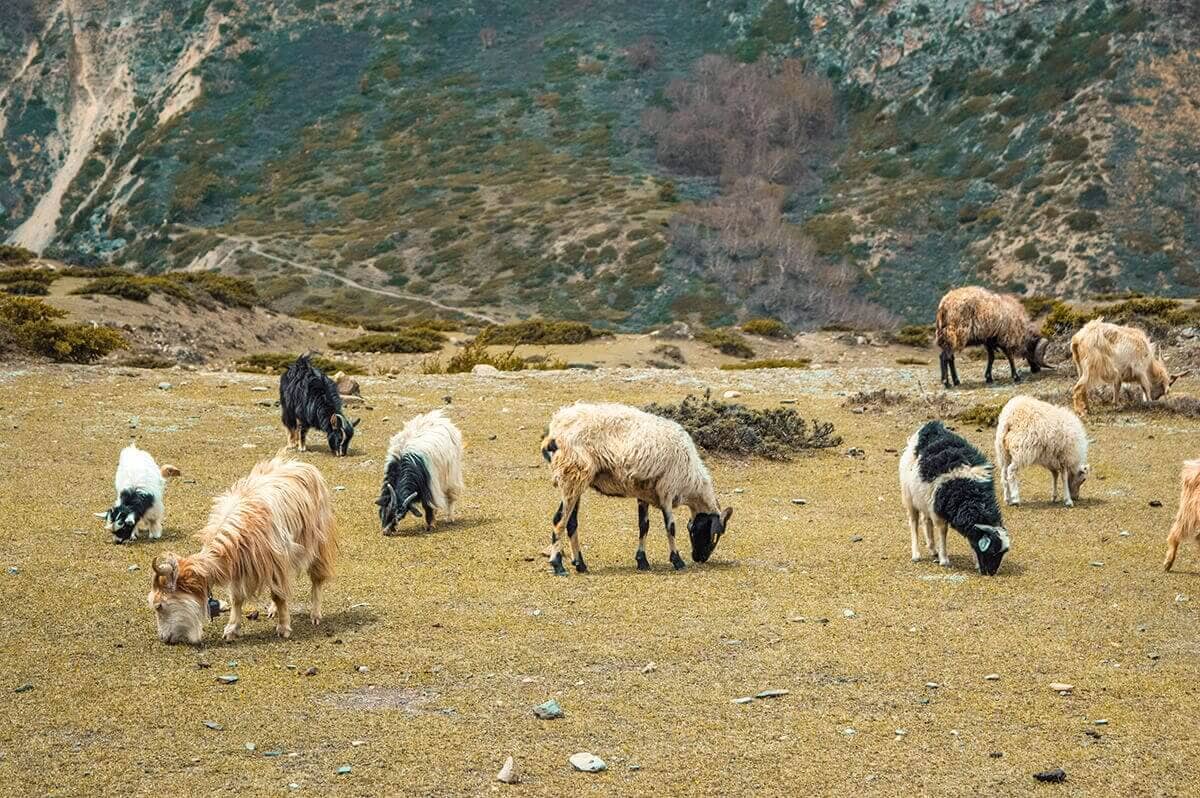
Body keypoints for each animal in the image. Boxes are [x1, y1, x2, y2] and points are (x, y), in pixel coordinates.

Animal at [147, 455, 337, 644]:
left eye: (159, 605)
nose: (164, 639)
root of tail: (302, 464)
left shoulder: (275, 562)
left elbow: (278, 595)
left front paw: (283, 628)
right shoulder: (240, 568)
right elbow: (237, 598)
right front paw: (232, 629)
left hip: (317, 542)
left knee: (316, 579)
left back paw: (315, 614)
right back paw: (274, 610)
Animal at [540, 402, 733, 575]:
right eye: (715, 535)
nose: (701, 558)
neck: (691, 483)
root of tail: (555, 429)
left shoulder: (644, 492)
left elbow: (643, 525)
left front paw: (642, 561)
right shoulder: (667, 490)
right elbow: (670, 526)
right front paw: (677, 561)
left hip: (577, 480)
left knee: (571, 523)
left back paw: (580, 565)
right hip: (573, 474)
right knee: (559, 520)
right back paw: (558, 565)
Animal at [900, 421, 1010, 575]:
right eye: (992, 552)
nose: (991, 573)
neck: (970, 495)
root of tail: (930, 427)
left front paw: (975, 562)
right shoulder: (938, 512)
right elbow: (942, 532)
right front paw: (944, 559)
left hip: (924, 498)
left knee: (926, 521)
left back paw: (932, 549)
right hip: (909, 497)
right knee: (914, 523)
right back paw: (916, 554)